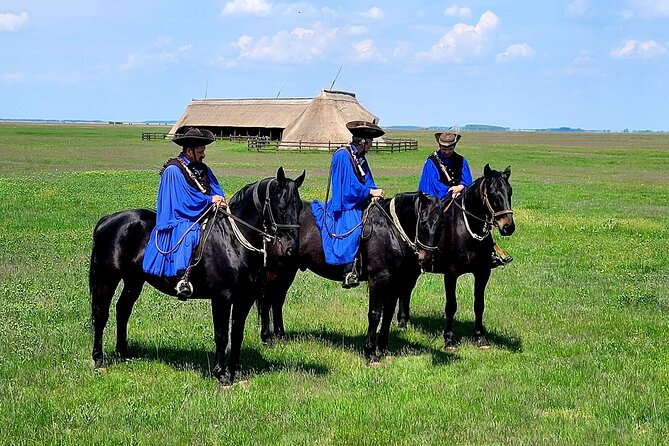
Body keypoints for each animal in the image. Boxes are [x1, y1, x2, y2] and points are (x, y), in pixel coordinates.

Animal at [89, 167, 305, 385]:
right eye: (281, 206)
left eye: (299, 207)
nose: (291, 249)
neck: (232, 241)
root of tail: (108, 219)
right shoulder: (222, 297)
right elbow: (221, 335)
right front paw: (221, 374)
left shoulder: (244, 298)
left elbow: (237, 334)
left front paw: (236, 371)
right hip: (107, 279)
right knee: (101, 314)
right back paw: (98, 359)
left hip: (134, 281)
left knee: (122, 310)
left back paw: (123, 353)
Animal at [259, 191, 445, 362]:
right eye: (423, 223)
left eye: (441, 224)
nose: (426, 259)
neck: (389, 231)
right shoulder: (378, 280)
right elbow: (375, 314)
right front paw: (370, 352)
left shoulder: (394, 283)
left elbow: (388, 314)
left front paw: (384, 349)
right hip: (275, 271)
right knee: (266, 302)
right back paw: (266, 338)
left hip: (287, 272)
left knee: (277, 301)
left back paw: (281, 337)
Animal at [396, 164, 515, 349]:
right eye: (493, 193)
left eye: (509, 191)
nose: (508, 227)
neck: (466, 230)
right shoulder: (451, 274)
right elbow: (451, 305)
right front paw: (449, 338)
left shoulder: (482, 273)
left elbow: (479, 304)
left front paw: (480, 337)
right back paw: (402, 322)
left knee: (406, 288)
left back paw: (405, 321)